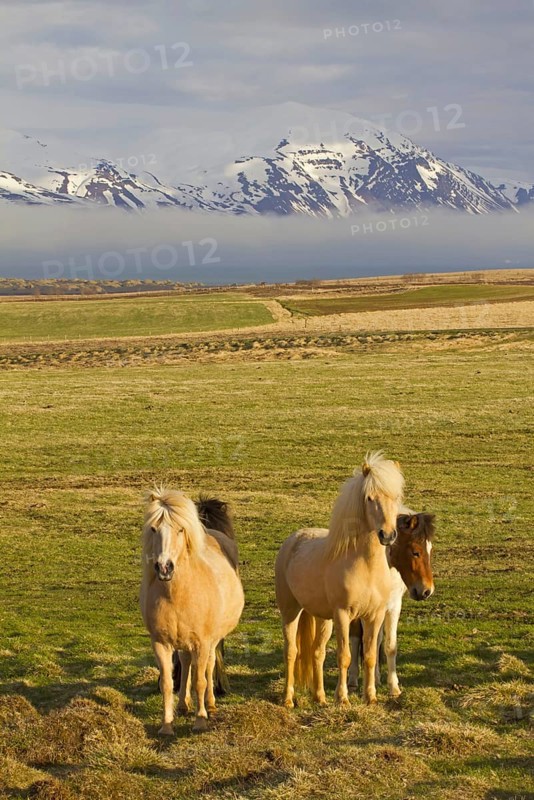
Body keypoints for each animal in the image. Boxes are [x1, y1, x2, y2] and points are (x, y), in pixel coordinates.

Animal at [140, 487, 244, 734]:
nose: (164, 567)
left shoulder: (203, 642)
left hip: (212, 640)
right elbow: (167, 682)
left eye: (180, 529)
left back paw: (210, 704)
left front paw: (200, 721)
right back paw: (183, 704)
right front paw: (166, 725)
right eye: (153, 528)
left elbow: (200, 680)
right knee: (186, 662)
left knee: (209, 665)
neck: (177, 594)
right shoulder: (161, 643)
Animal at [275, 451, 404, 707]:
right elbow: (345, 656)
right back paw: (288, 699)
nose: (387, 535)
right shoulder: (344, 615)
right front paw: (343, 698)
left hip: (322, 618)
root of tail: (292, 540)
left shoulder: (374, 615)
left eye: (395, 497)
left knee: (317, 652)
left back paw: (320, 697)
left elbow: (370, 655)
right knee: (291, 651)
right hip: (291, 610)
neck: (366, 566)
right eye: (369, 498)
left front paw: (370, 697)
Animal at [348, 510, 435, 697]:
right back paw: (352, 680)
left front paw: (393, 687)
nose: (427, 591)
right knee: (355, 639)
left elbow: (389, 646)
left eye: (430, 550)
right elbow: (365, 644)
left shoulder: (393, 607)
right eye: (415, 552)